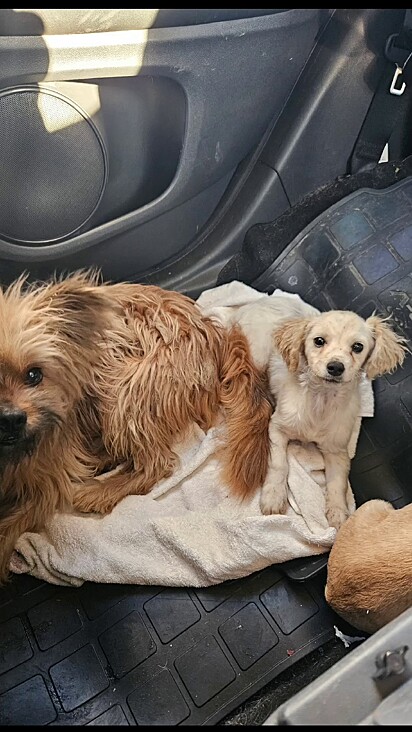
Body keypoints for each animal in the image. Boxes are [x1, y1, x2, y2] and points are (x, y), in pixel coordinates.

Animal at [0, 272, 272, 588]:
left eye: (34, 374)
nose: (11, 419)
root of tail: (214, 334)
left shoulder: (49, 481)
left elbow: (12, 523)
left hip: (123, 387)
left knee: (155, 463)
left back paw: (100, 491)